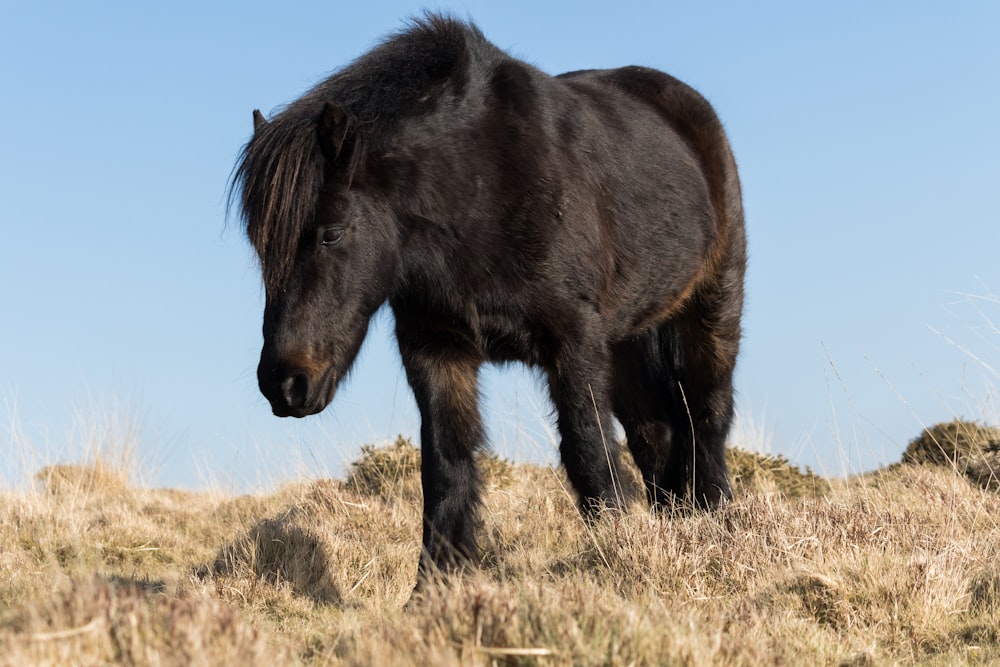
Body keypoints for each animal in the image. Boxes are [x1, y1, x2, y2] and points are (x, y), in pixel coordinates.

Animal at [232, 14, 744, 580]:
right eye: (260, 247)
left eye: (331, 233)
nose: (284, 383)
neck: (478, 191)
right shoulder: (437, 351)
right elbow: (446, 470)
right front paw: (433, 588)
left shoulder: (575, 343)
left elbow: (588, 451)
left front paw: (616, 561)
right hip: (629, 340)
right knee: (657, 435)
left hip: (711, 310)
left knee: (708, 417)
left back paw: (720, 526)